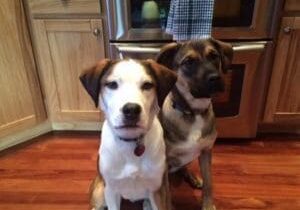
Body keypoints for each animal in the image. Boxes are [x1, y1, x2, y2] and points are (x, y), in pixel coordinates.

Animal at [81, 58, 177, 210]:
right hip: (100, 192)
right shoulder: (111, 190)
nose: (131, 109)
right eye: (112, 84)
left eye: (147, 85)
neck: (131, 142)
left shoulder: (158, 189)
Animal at [156, 38, 233, 210]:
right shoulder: (162, 163)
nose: (215, 78)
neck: (194, 112)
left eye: (214, 56)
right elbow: (167, 194)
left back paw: (193, 177)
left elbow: (209, 182)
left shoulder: (206, 151)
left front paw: (208, 205)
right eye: (189, 62)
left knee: (184, 167)